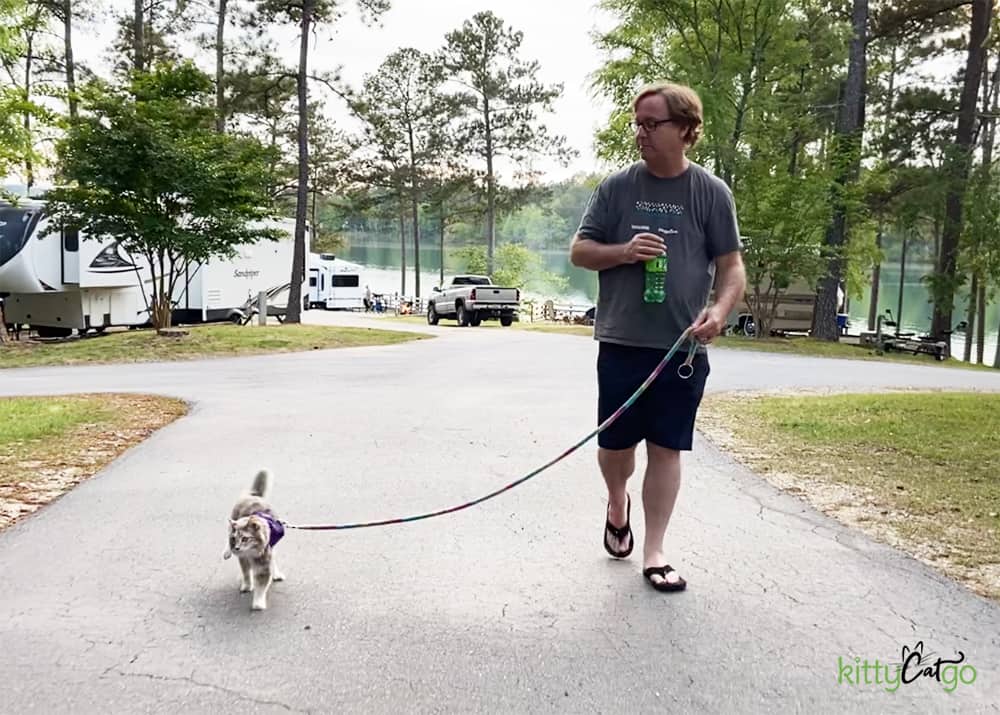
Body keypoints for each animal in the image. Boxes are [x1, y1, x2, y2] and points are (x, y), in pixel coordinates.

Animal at [225, 470, 288, 608]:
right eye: (234, 538)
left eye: (245, 538)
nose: (236, 548)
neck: (251, 552)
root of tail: (254, 495)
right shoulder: (243, 558)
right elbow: (246, 573)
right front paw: (247, 585)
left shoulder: (264, 563)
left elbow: (261, 584)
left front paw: (258, 603)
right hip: (233, 521)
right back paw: (226, 552)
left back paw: (276, 573)